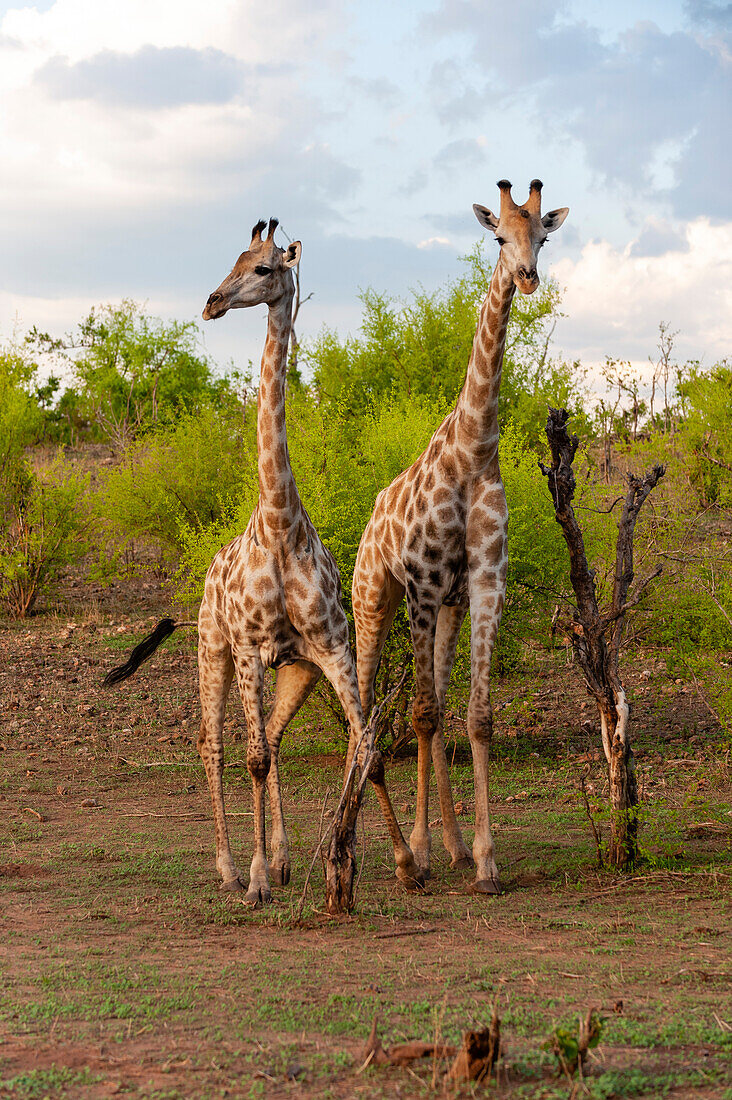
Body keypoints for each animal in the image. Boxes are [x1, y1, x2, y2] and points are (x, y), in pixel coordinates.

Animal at [352, 180, 567, 897]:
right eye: (498, 237)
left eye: (543, 236)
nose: (526, 278)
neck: (475, 450)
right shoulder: (419, 583)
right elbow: (419, 714)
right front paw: (417, 854)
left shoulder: (481, 581)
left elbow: (473, 716)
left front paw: (484, 859)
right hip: (374, 600)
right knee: (373, 712)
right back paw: (404, 853)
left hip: (443, 608)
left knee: (440, 707)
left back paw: (445, 845)